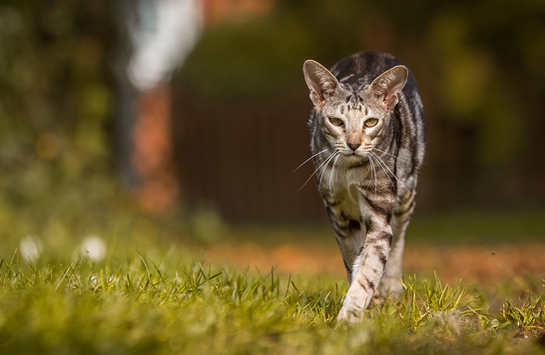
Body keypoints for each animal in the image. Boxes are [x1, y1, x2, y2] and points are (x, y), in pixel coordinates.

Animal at [302, 50, 424, 326]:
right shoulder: (338, 211)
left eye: (370, 122)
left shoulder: (379, 213)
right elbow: (353, 261)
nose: (354, 144)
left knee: (398, 238)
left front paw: (350, 316)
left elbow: (370, 267)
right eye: (336, 121)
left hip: (406, 193)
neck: (350, 171)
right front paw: (366, 304)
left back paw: (392, 290)